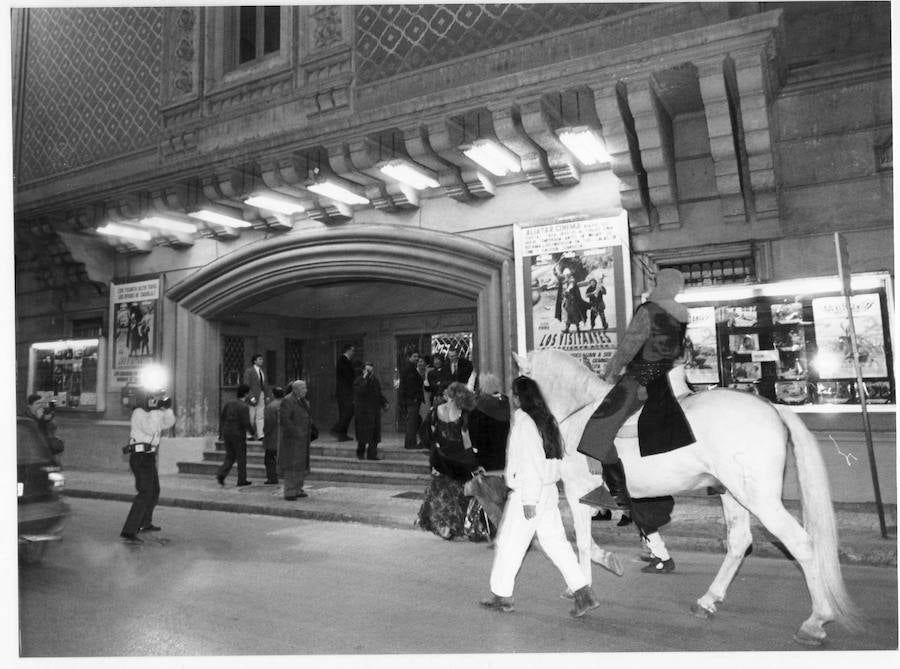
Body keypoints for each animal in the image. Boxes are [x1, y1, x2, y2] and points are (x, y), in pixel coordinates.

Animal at [512, 348, 856, 644]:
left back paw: (815, 621)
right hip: (733, 493)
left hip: (760, 499)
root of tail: (772, 408)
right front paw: (598, 570)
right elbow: (587, 543)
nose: (516, 420)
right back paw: (708, 600)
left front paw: (583, 588)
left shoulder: (577, 493)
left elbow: (582, 543)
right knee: (739, 541)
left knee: (800, 543)